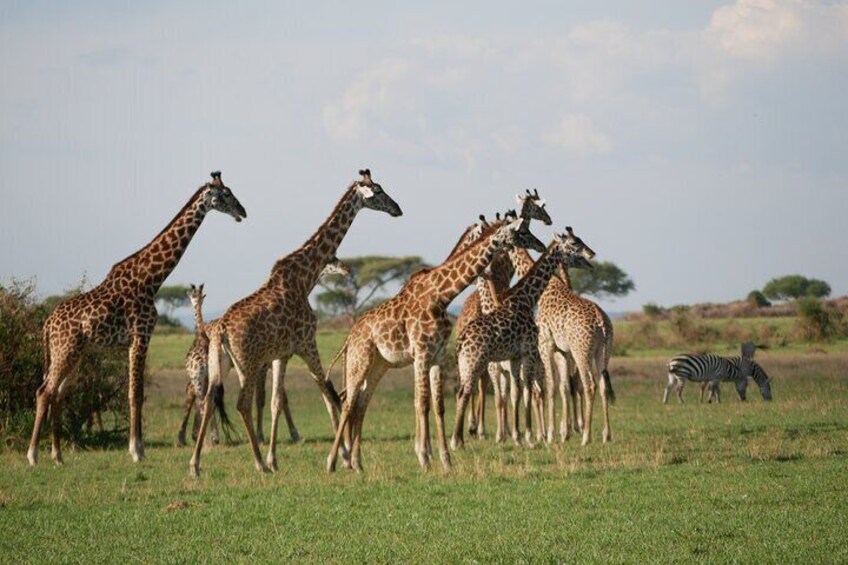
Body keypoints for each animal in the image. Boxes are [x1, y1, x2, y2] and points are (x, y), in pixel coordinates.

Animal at [27, 172, 246, 466]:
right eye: (226, 194)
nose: (243, 212)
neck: (151, 279)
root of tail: (47, 324)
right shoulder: (141, 336)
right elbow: (136, 394)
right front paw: (137, 450)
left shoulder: (136, 340)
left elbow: (134, 393)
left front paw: (137, 448)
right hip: (65, 350)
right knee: (44, 392)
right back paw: (33, 455)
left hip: (74, 354)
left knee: (58, 394)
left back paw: (58, 456)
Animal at [190, 169, 401, 476]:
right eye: (380, 191)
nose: (398, 209)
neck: (305, 277)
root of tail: (219, 331)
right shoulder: (307, 343)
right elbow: (328, 392)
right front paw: (342, 457)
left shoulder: (282, 354)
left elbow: (278, 401)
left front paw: (275, 459)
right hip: (247, 363)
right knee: (242, 403)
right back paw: (257, 463)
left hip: (222, 363)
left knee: (208, 400)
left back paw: (195, 464)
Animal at [325, 218, 547, 473]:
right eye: (522, 231)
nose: (540, 245)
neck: (442, 295)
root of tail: (350, 336)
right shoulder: (421, 353)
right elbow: (422, 403)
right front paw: (424, 457)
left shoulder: (436, 356)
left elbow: (438, 405)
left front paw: (445, 460)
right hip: (359, 360)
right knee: (348, 402)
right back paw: (334, 462)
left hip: (379, 365)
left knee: (361, 403)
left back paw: (357, 463)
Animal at [450, 227, 596, 450]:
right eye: (573, 244)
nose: (591, 254)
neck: (526, 299)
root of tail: (461, 341)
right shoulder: (529, 351)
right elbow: (526, 392)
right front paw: (529, 437)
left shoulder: (514, 356)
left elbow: (516, 393)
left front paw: (519, 437)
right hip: (477, 362)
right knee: (466, 392)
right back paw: (457, 441)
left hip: (467, 363)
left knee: (462, 392)